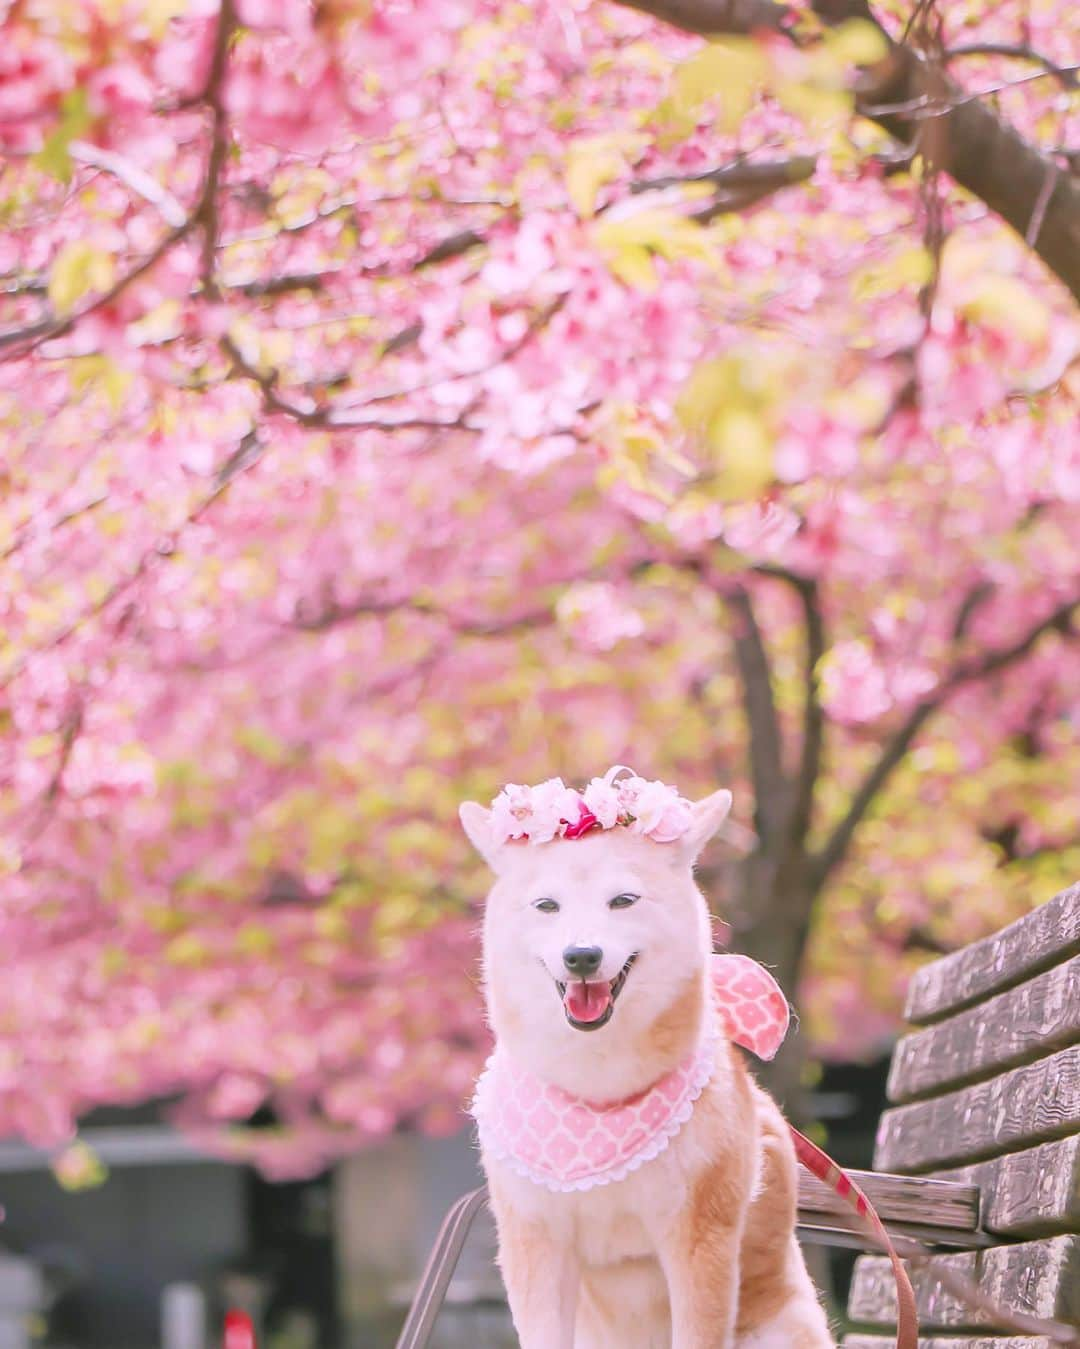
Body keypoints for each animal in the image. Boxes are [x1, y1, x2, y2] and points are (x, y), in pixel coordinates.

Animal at [458, 771, 830, 1349]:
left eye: (623, 900)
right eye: (547, 906)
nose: (581, 955)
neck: (597, 1091)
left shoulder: (699, 1240)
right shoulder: (536, 1241)